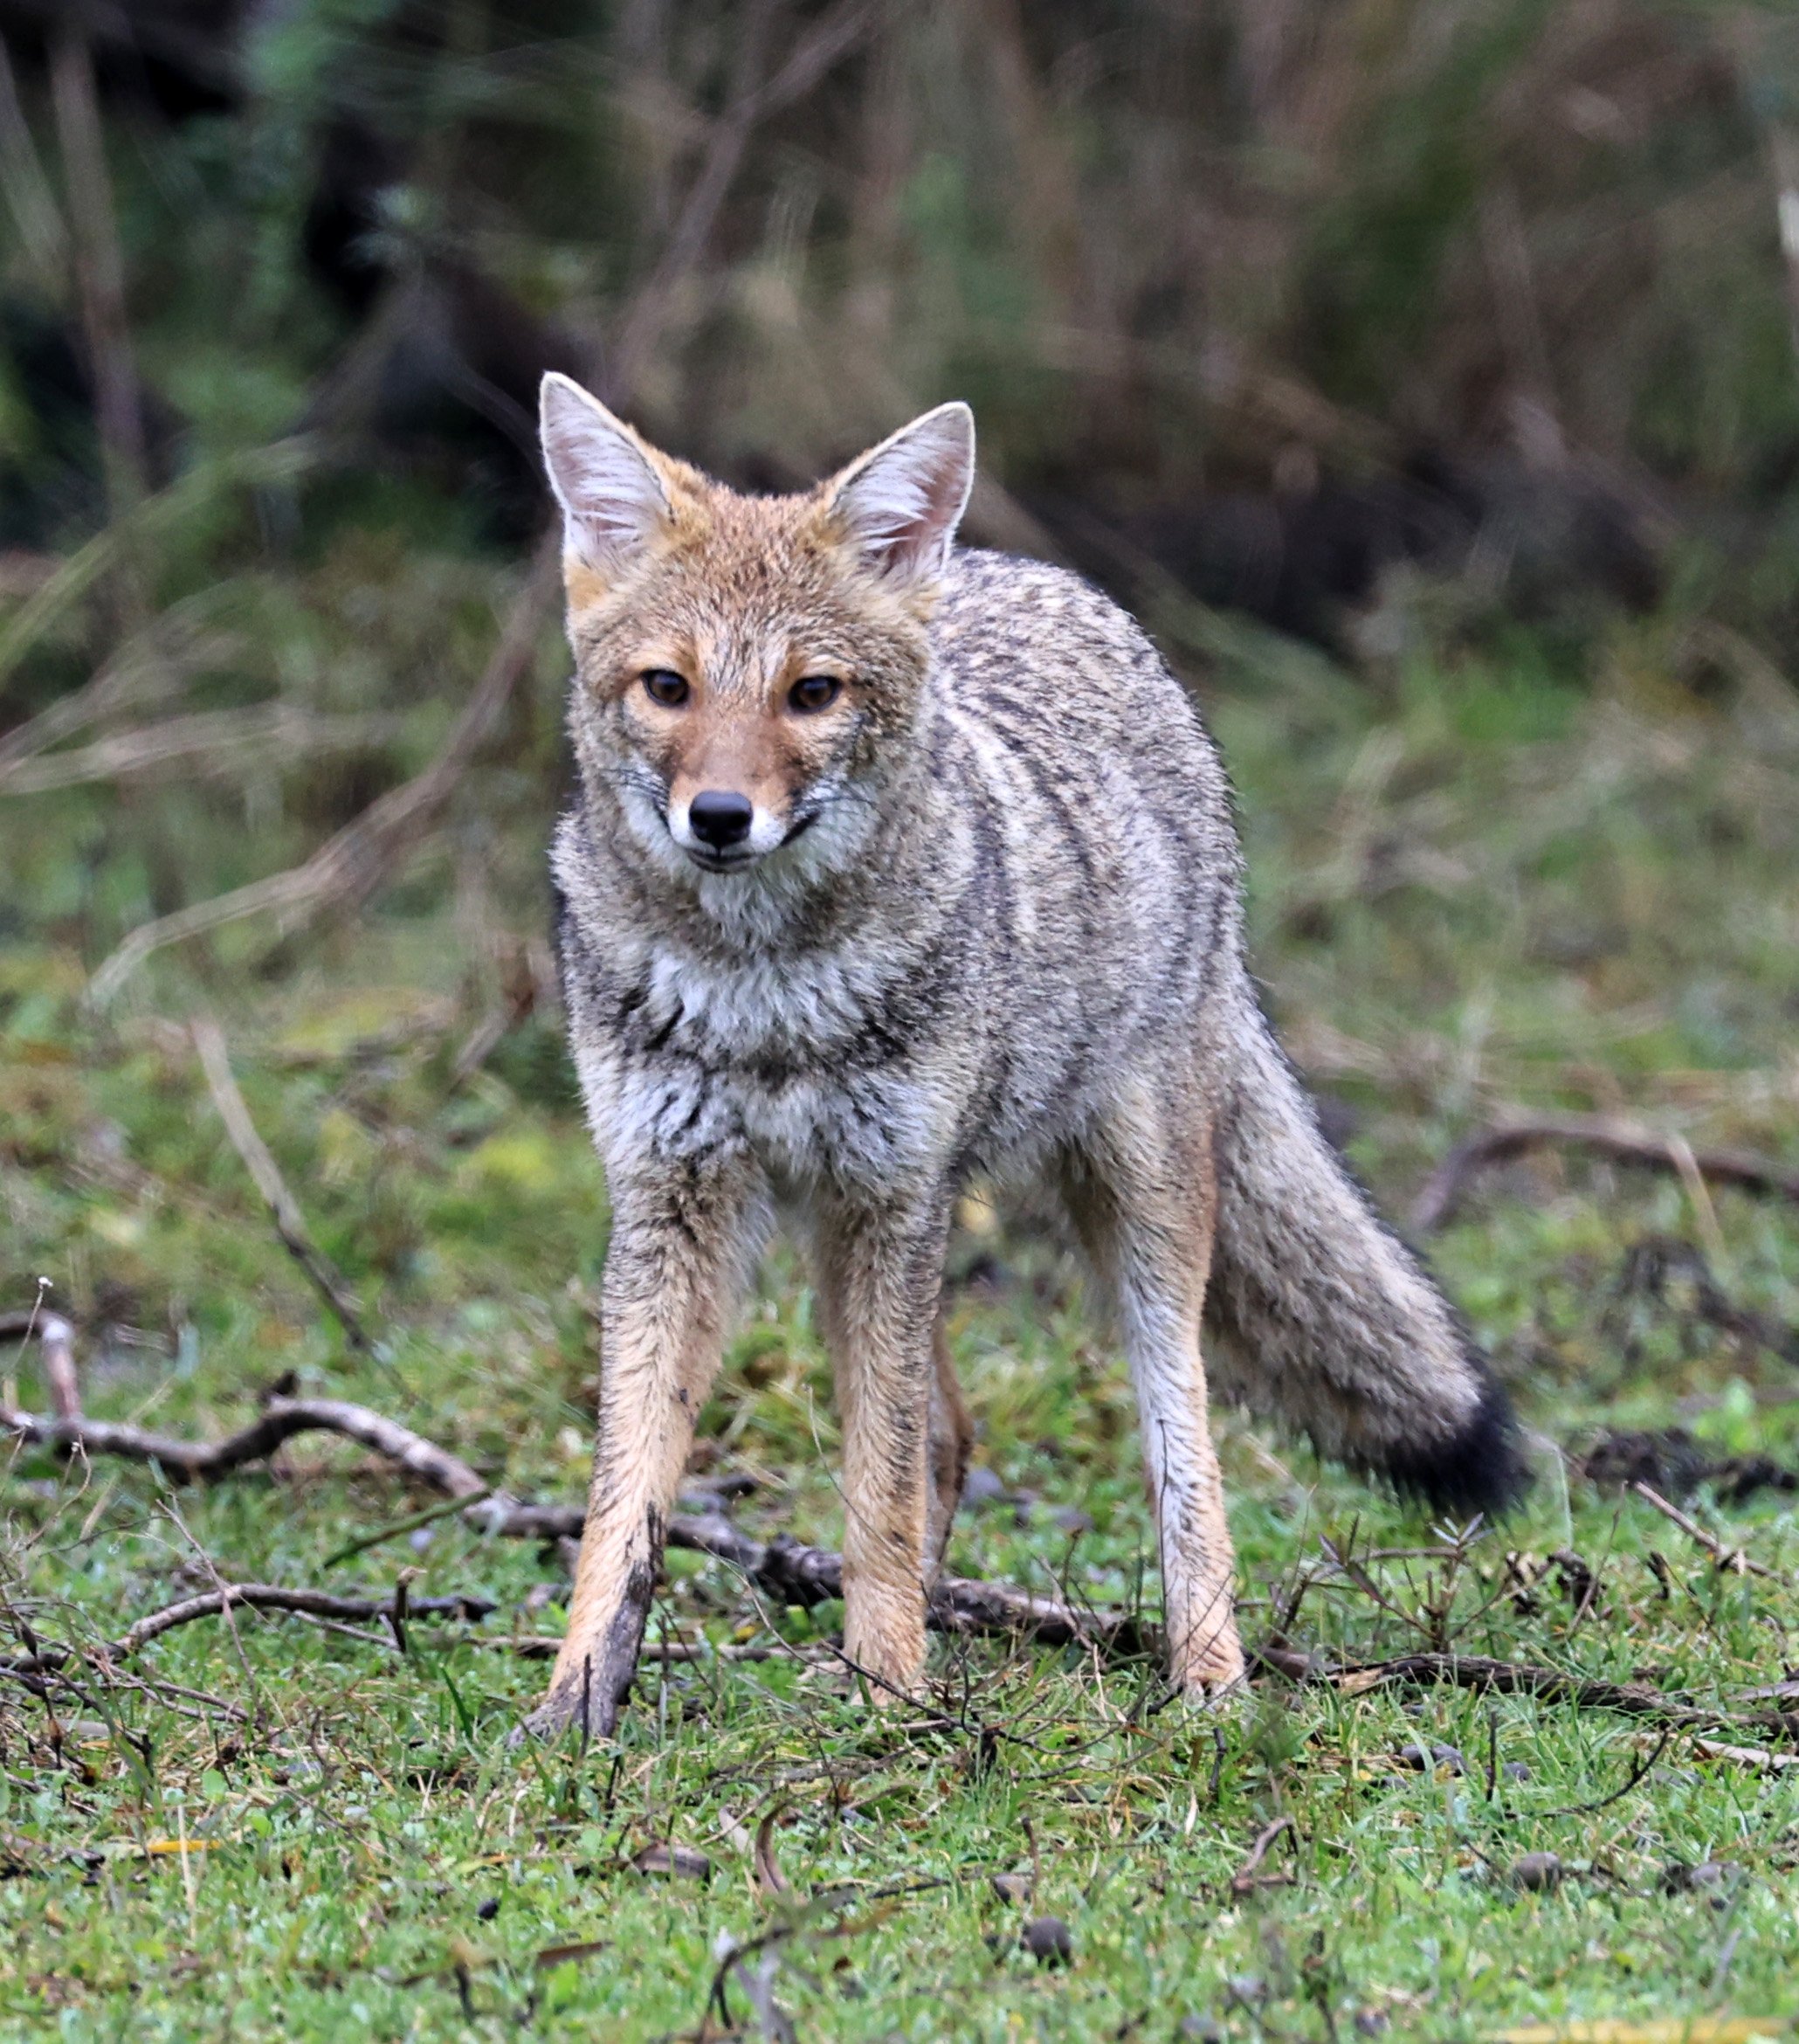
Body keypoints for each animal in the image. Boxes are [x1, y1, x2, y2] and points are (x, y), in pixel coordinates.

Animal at [523, 370, 1525, 1741]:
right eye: (667, 688)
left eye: (810, 694)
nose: (719, 819)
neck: (763, 994)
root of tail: (1043, 579)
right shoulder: (672, 1202)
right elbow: (624, 1496)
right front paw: (577, 1701)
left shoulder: (889, 1201)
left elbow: (879, 1488)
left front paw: (893, 1697)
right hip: (869, 1230)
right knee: (950, 1436)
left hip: (1124, 1217)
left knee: (1175, 1454)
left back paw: (1206, 1677)